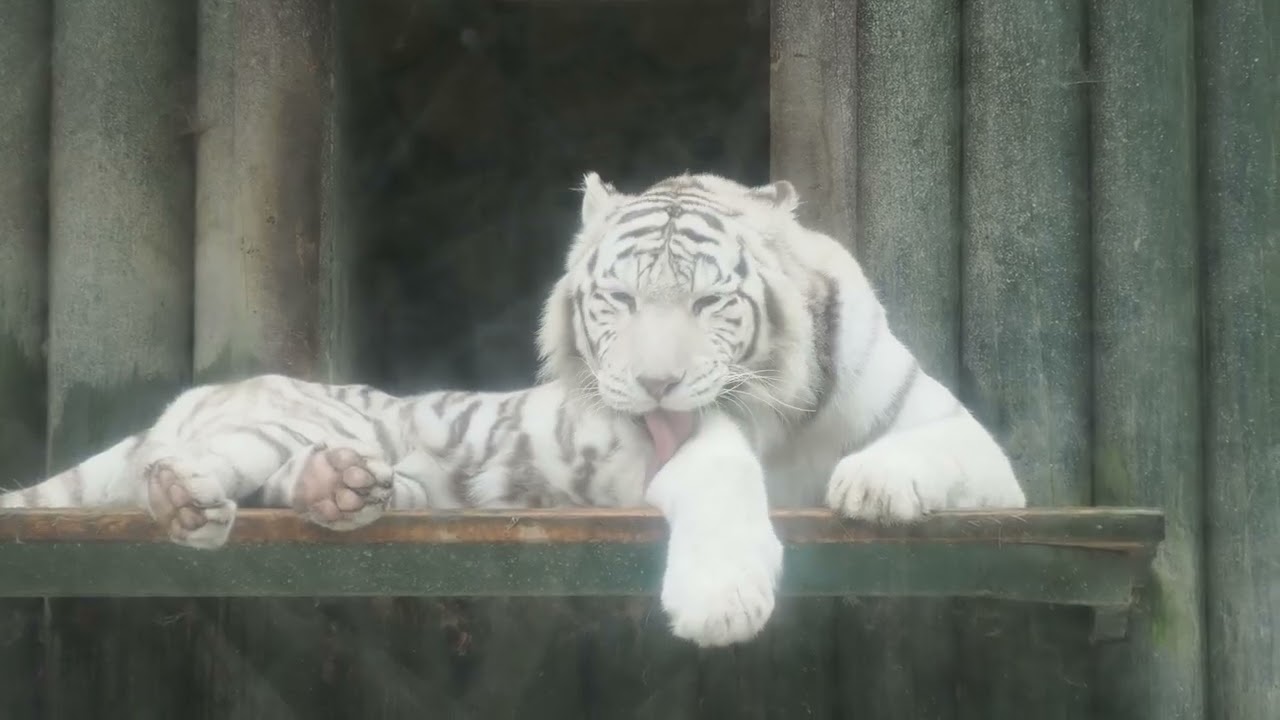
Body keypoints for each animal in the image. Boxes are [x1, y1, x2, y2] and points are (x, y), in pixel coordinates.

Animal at [0, 170, 1026, 647]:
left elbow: (936, 451)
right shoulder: (687, 447)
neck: (792, 409)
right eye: (618, 300)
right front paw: (721, 600)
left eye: (707, 302)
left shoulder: (978, 448)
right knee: (176, 473)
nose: (655, 387)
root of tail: (201, 388)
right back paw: (194, 501)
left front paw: (873, 485)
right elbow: (726, 475)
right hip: (275, 423)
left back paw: (352, 492)